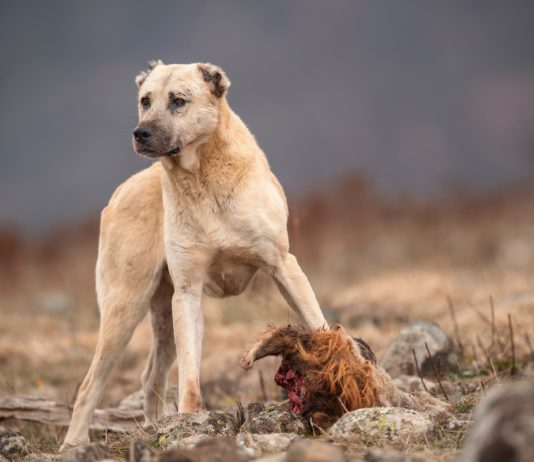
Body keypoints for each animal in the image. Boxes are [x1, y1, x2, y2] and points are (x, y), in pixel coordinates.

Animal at [62, 60, 330, 448]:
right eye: (145, 100)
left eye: (178, 101)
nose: (140, 133)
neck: (203, 178)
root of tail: (120, 192)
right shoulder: (188, 293)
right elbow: (189, 374)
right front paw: (189, 423)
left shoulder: (283, 266)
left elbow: (318, 323)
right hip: (125, 308)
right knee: (90, 386)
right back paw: (74, 444)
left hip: (160, 315)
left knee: (150, 377)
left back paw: (153, 427)